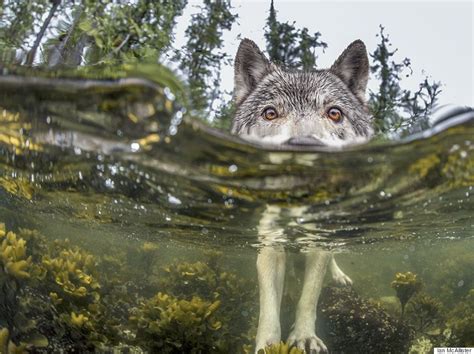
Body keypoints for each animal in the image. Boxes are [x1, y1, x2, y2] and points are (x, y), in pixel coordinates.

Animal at [231, 39, 374, 354]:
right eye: (270, 113)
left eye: (334, 113)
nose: (304, 146)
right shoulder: (270, 244)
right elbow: (269, 305)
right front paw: (268, 344)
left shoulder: (318, 243)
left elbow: (309, 296)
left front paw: (305, 337)